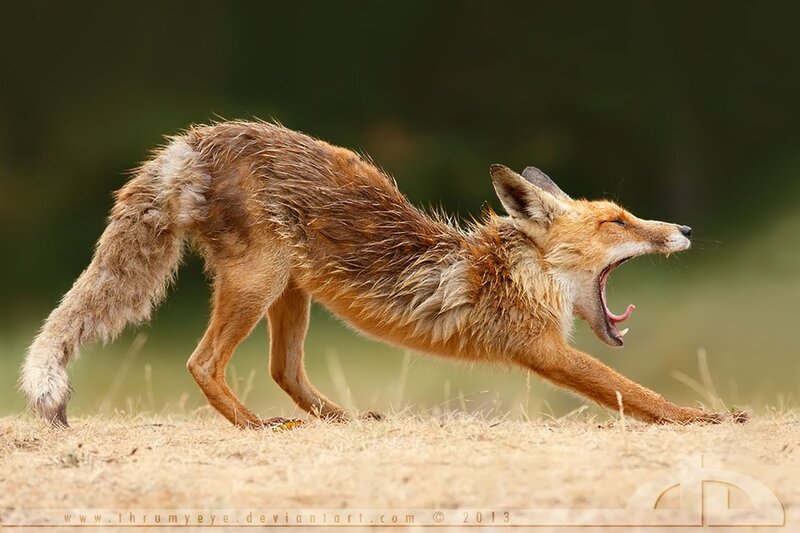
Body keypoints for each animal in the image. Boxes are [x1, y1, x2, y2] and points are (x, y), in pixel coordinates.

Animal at [21, 120, 747, 428]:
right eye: (618, 221)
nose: (683, 231)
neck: (511, 270)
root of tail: (196, 139)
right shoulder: (541, 348)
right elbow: (637, 394)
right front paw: (704, 416)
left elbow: (633, 391)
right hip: (259, 281)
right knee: (204, 364)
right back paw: (255, 426)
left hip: (291, 290)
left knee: (284, 370)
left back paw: (337, 420)